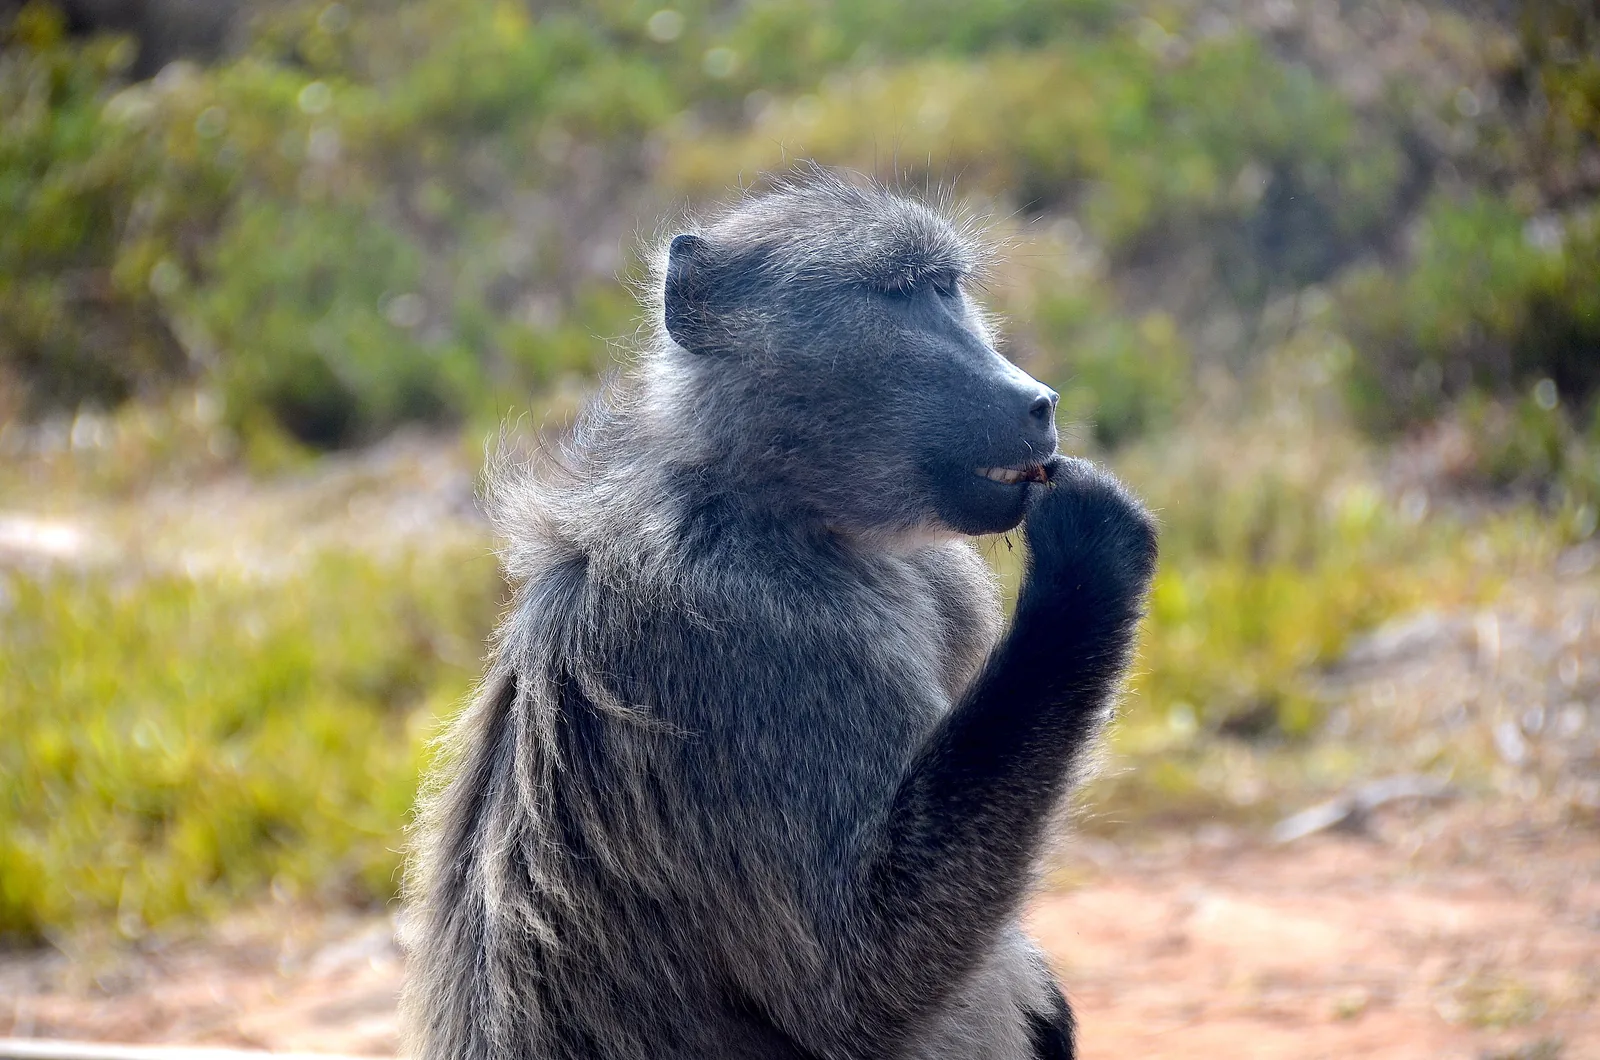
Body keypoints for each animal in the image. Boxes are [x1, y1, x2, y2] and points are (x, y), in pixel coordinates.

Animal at [400, 168, 1157, 1060]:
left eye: (948, 290)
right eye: (901, 296)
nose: (1038, 401)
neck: (786, 509)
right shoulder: (752, 641)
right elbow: (858, 980)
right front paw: (1090, 557)